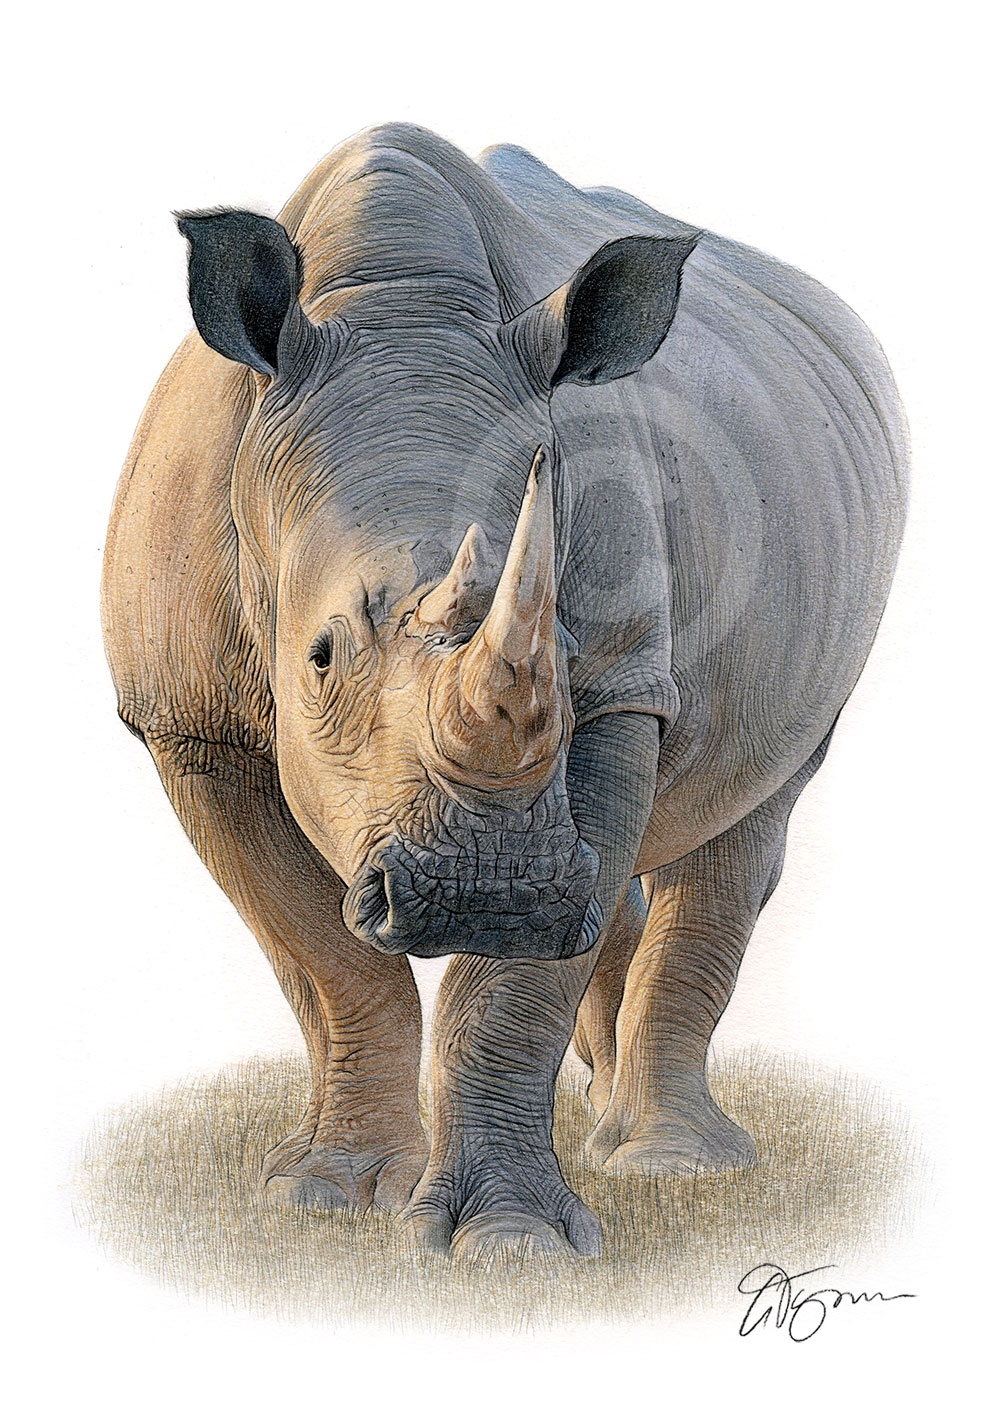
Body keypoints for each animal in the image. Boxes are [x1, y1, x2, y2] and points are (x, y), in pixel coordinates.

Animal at [102, 123, 907, 1257]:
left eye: (561, 652)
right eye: (318, 656)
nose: (492, 893)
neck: (394, 308)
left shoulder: (618, 684)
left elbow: (515, 986)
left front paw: (512, 1244)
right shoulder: (187, 720)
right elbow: (326, 959)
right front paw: (335, 1193)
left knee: (750, 810)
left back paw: (668, 1163)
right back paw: (610, 1121)